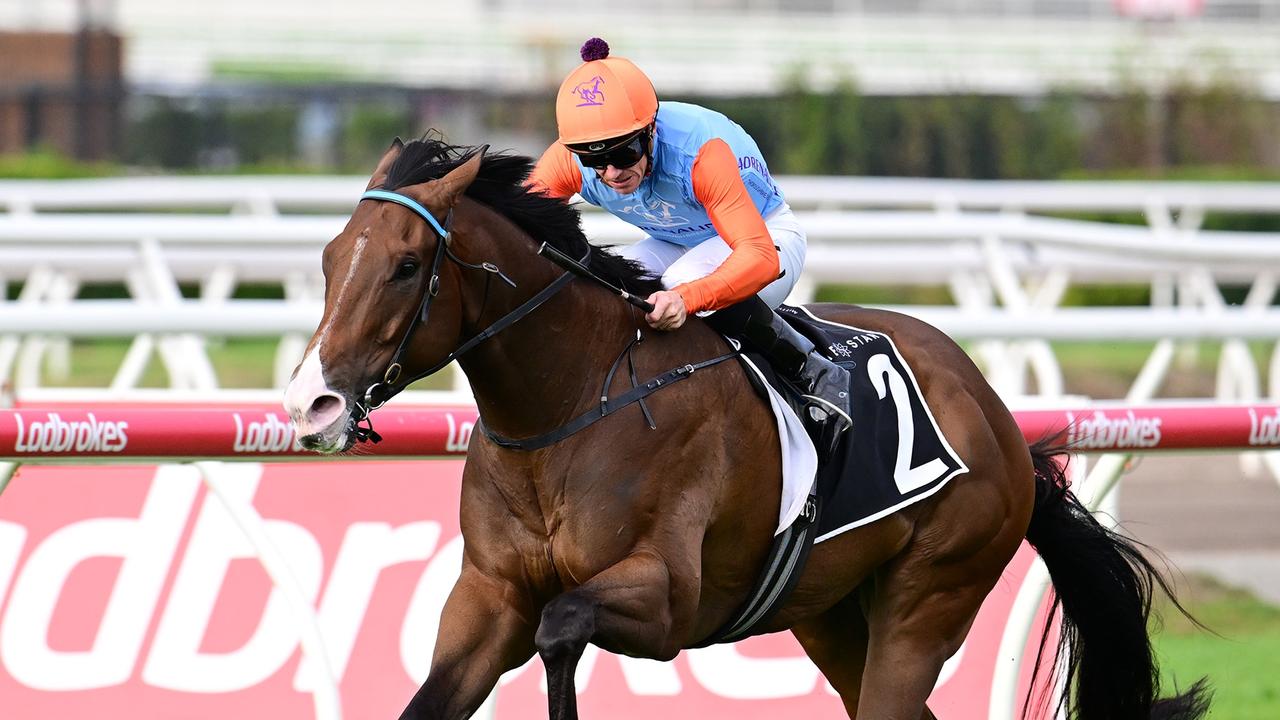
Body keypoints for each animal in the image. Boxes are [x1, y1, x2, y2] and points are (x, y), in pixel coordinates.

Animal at [282, 135, 1208, 717]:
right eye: (328, 259)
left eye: (406, 266)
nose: (311, 403)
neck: (570, 403)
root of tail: (998, 418)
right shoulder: (487, 600)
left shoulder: (667, 599)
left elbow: (562, 628)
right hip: (829, 612)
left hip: (931, 595)